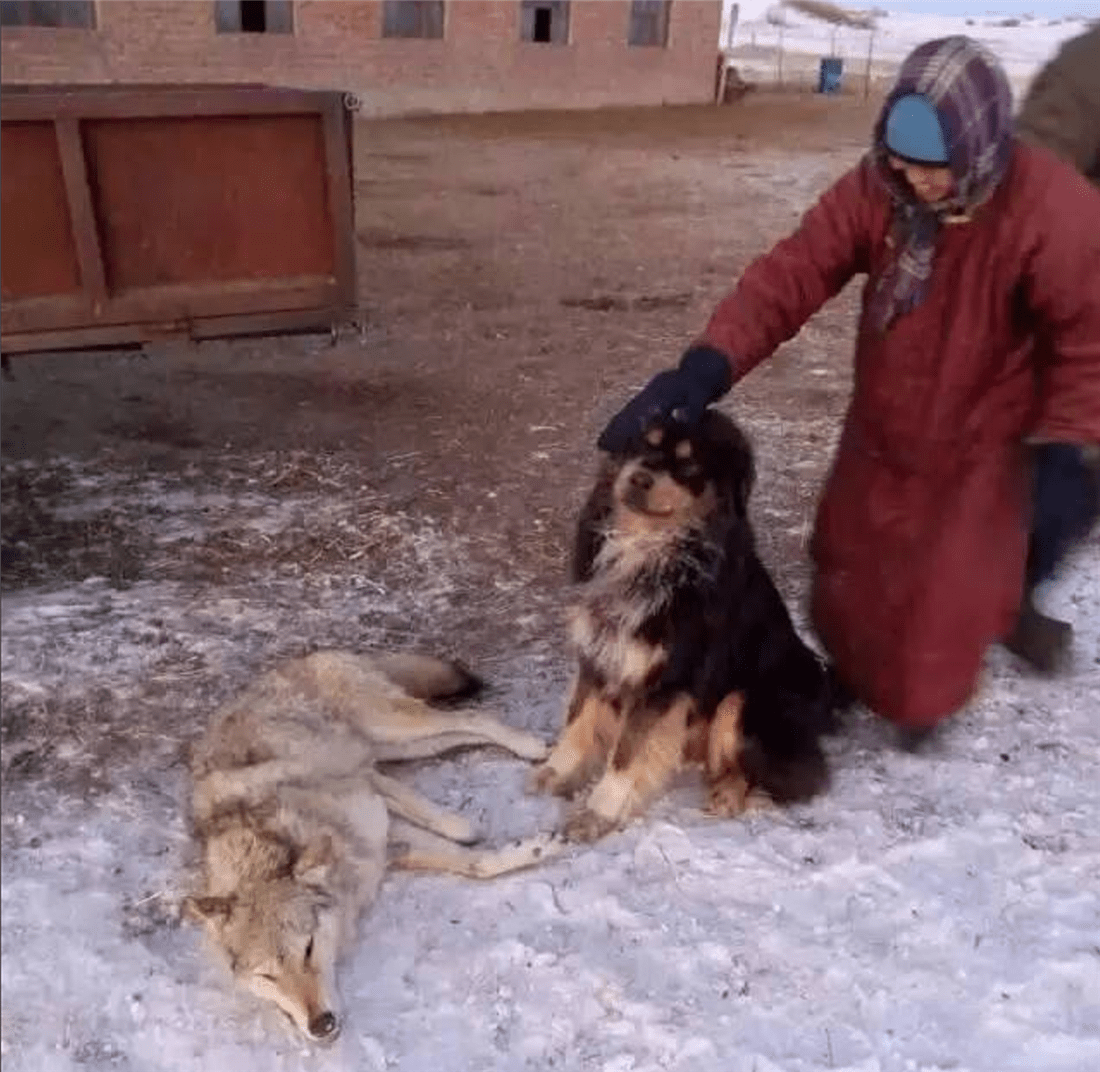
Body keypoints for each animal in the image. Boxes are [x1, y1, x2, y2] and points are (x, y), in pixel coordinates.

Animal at [187, 650, 558, 1042]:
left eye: (308, 948)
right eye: (267, 976)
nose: (320, 1026)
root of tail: (306, 656)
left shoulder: (366, 787)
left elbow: (440, 821)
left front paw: (472, 830)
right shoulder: (386, 844)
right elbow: (474, 864)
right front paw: (528, 849)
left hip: (393, 728)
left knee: (471, 717)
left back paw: (533, 747)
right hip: (399, 746)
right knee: (459, 731)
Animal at [530, 409, 831, 840]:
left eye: (689, 465)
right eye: (644, 443)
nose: (639, 477)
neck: (647, 546)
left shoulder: (668, 679)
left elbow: (627, 752)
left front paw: (599, 813)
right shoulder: (601, 647)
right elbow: (579, 719)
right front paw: (556, 771)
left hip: (746, 699)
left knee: (790, 773)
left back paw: (728, 792)